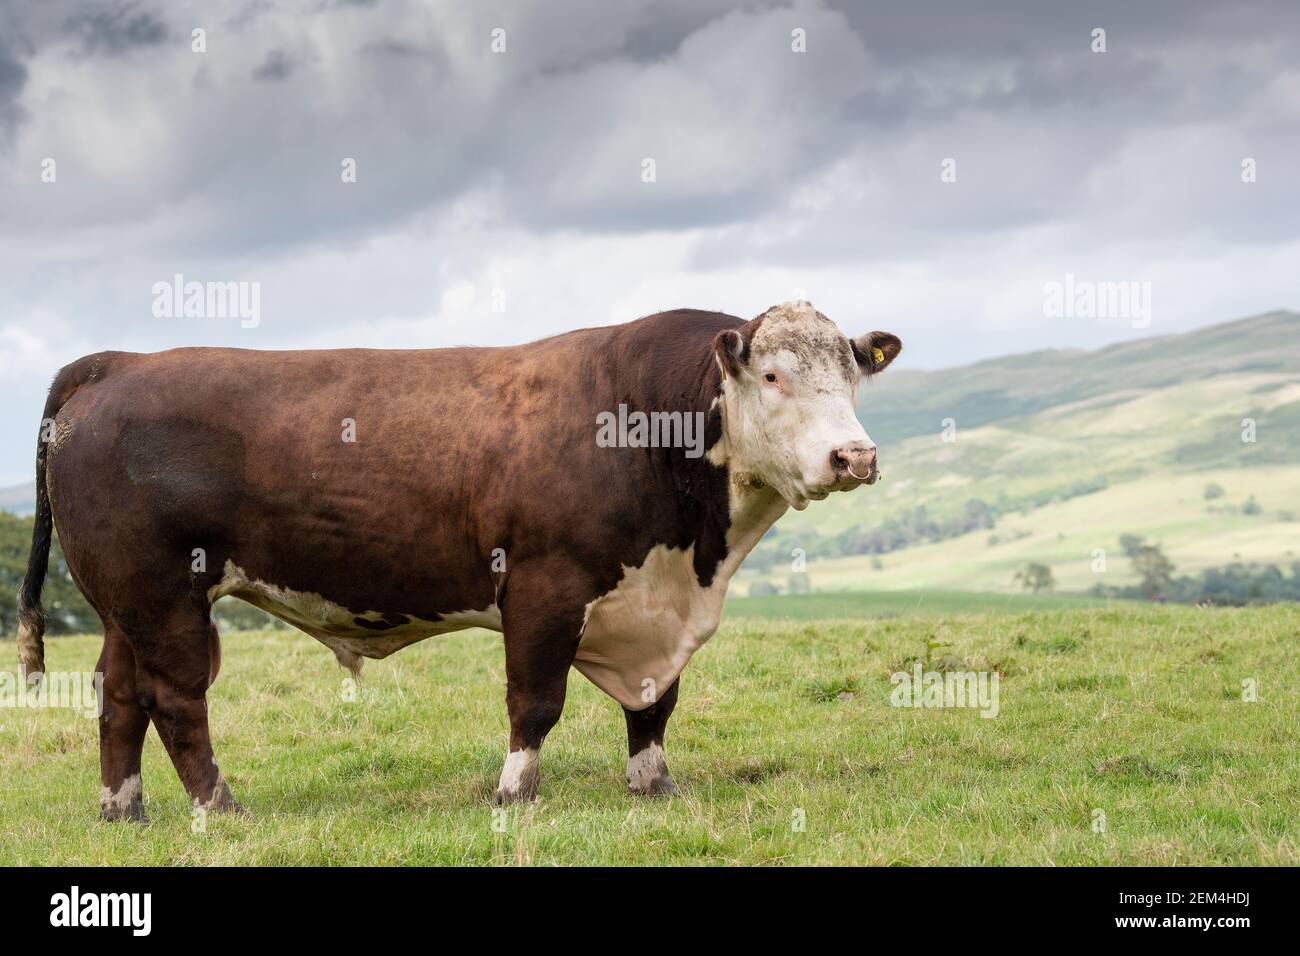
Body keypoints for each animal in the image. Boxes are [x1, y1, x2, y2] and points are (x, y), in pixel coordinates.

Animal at [16, 300, 901, 820]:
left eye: (852, 376)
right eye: (775, 375)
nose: (854, 457)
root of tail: (120, 363)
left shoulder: (655, 606)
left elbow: (655, 706)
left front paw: (653, 785)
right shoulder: (544, 589)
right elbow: (534, 704)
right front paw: (513, 794)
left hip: (124, 601)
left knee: (119, 697)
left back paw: (124, 808)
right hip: (164, 594)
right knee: (176, 699)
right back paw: (220, 806)